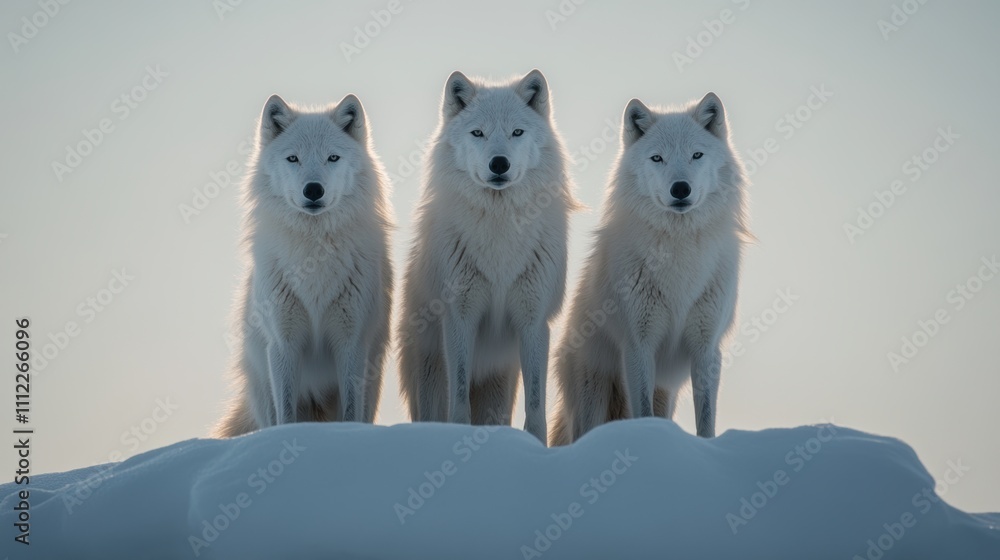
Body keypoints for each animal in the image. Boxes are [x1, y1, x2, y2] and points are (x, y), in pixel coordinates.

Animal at [216, 93, 393, 437]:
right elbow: (285, 415)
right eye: (293, 159)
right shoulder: (283, 343)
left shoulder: (352, 342)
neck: (314, 257)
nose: (313, 190)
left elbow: (350, 412)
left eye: (333, 158)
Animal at [397, 69, 577, 443]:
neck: (500, 228)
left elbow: (536, 403)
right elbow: (459, 397)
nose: (499, 163)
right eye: (477, 133)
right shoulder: (459, 317)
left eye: (517, 132)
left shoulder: (533, 321)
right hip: (429, 376)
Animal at [551, 93, 749, 445]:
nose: (680, 188)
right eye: (657, 158)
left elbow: (706, 417)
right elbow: (640, 409)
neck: (679, 253)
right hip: (593, 396)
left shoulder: (706, 347)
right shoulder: (638, 345)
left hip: (665, 393)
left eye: (696, 155)